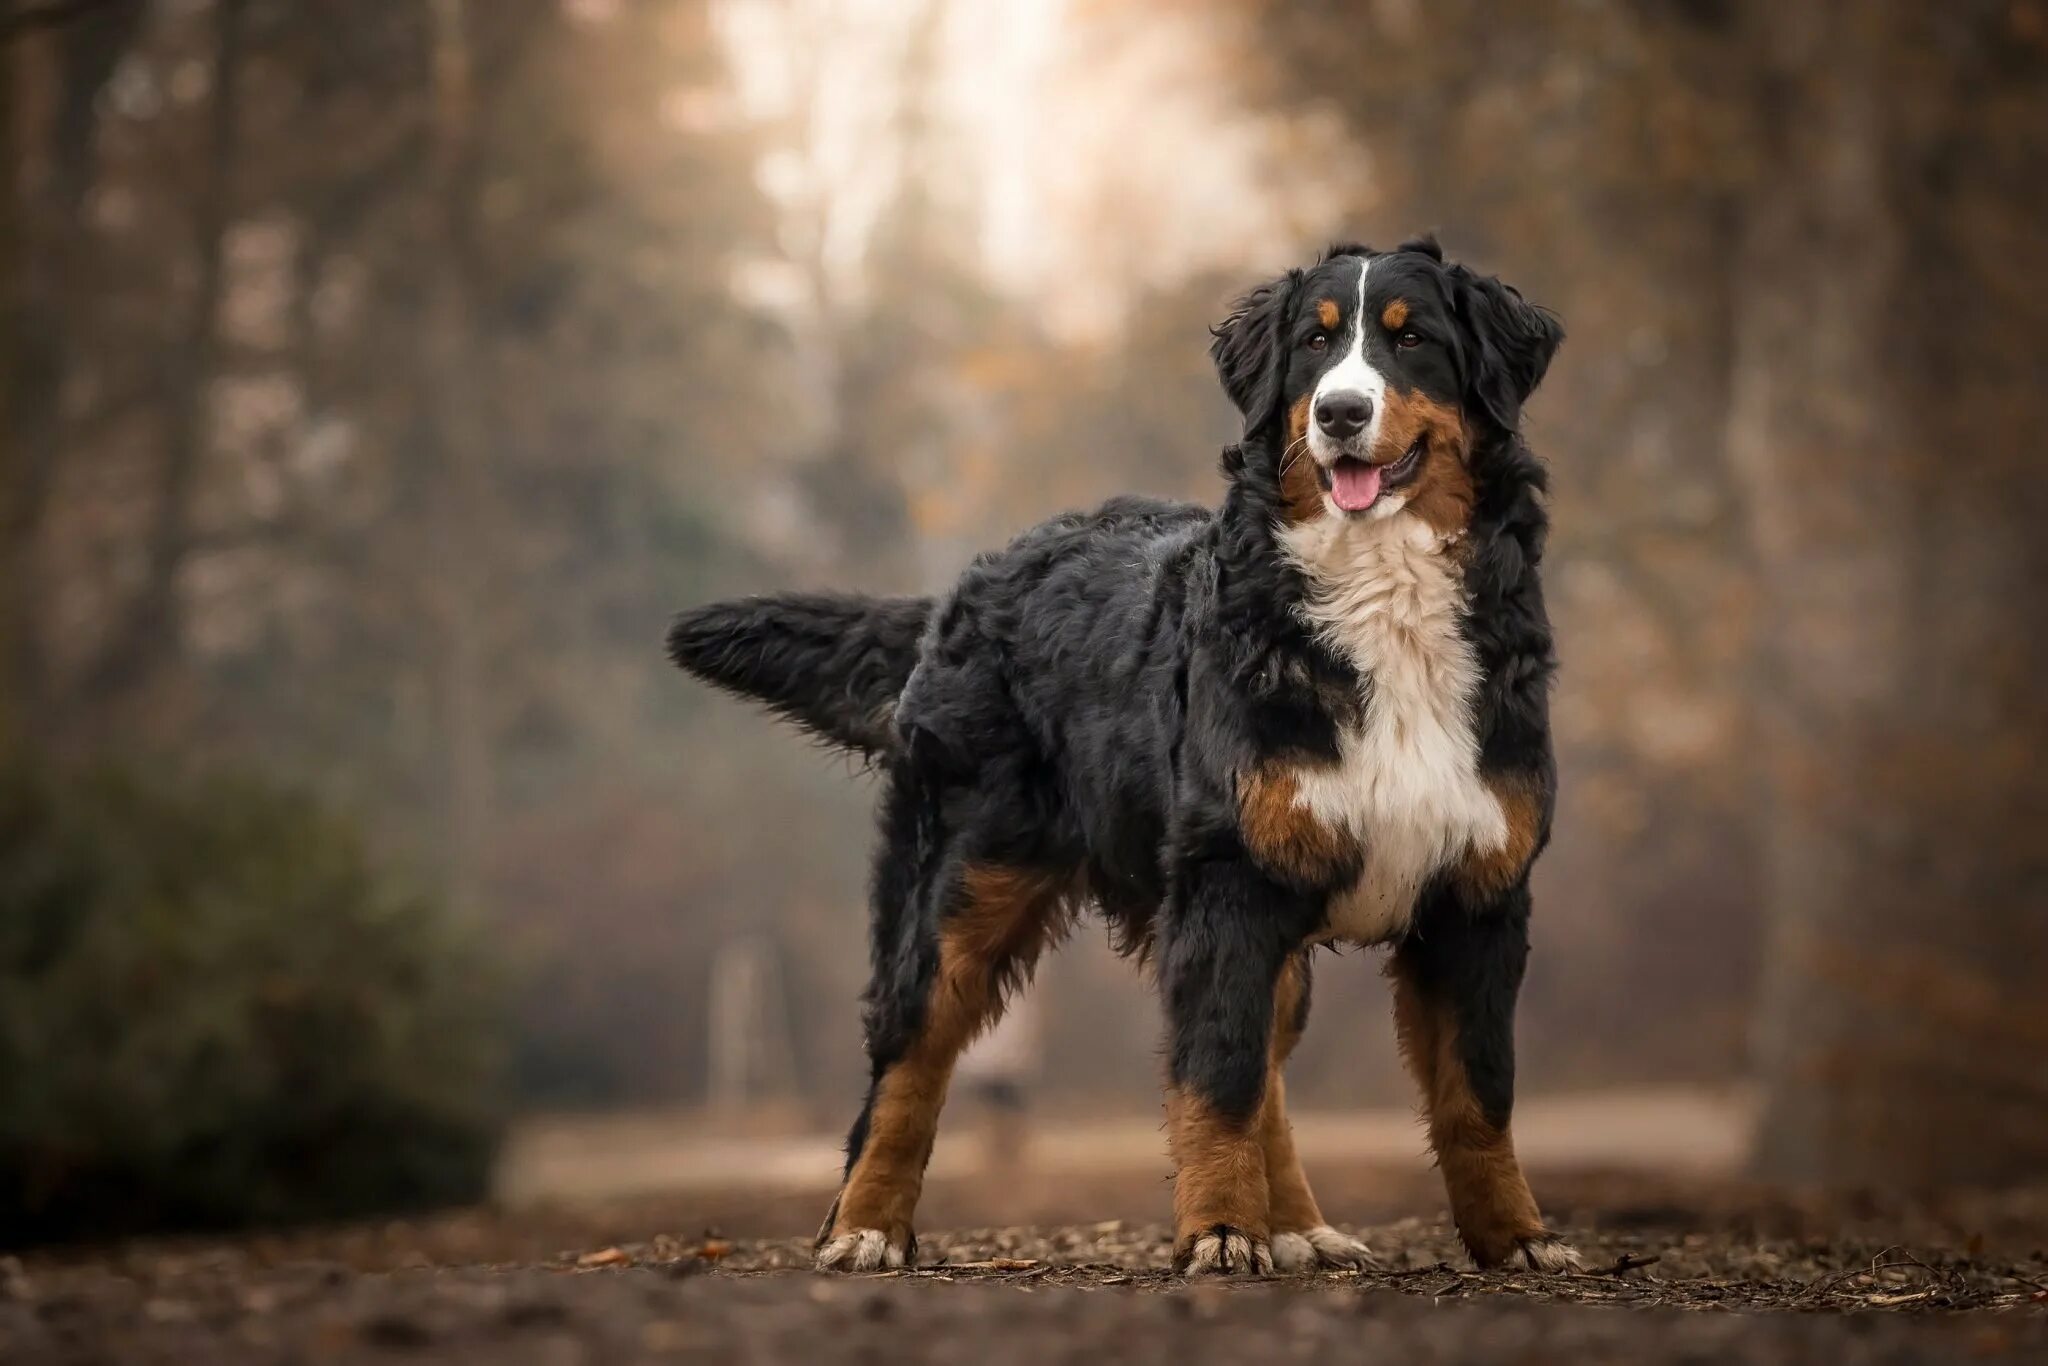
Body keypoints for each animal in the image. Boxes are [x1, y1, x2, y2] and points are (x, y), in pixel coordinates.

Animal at [663, 237, 1572, 1286]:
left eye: (1412, 339)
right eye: (1314, 345)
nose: (1340, 413)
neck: (1382, 598)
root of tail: (968, 586)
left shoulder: (1477, 892)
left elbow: (1478, 1094)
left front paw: (1517, 1237)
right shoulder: (1227, 885)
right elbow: (1215, 1082)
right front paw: (1218, 1232)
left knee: (1267, 1070)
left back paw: (1298, 1224)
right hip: (962, 883)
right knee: (908, 1061)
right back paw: (864, 1226)